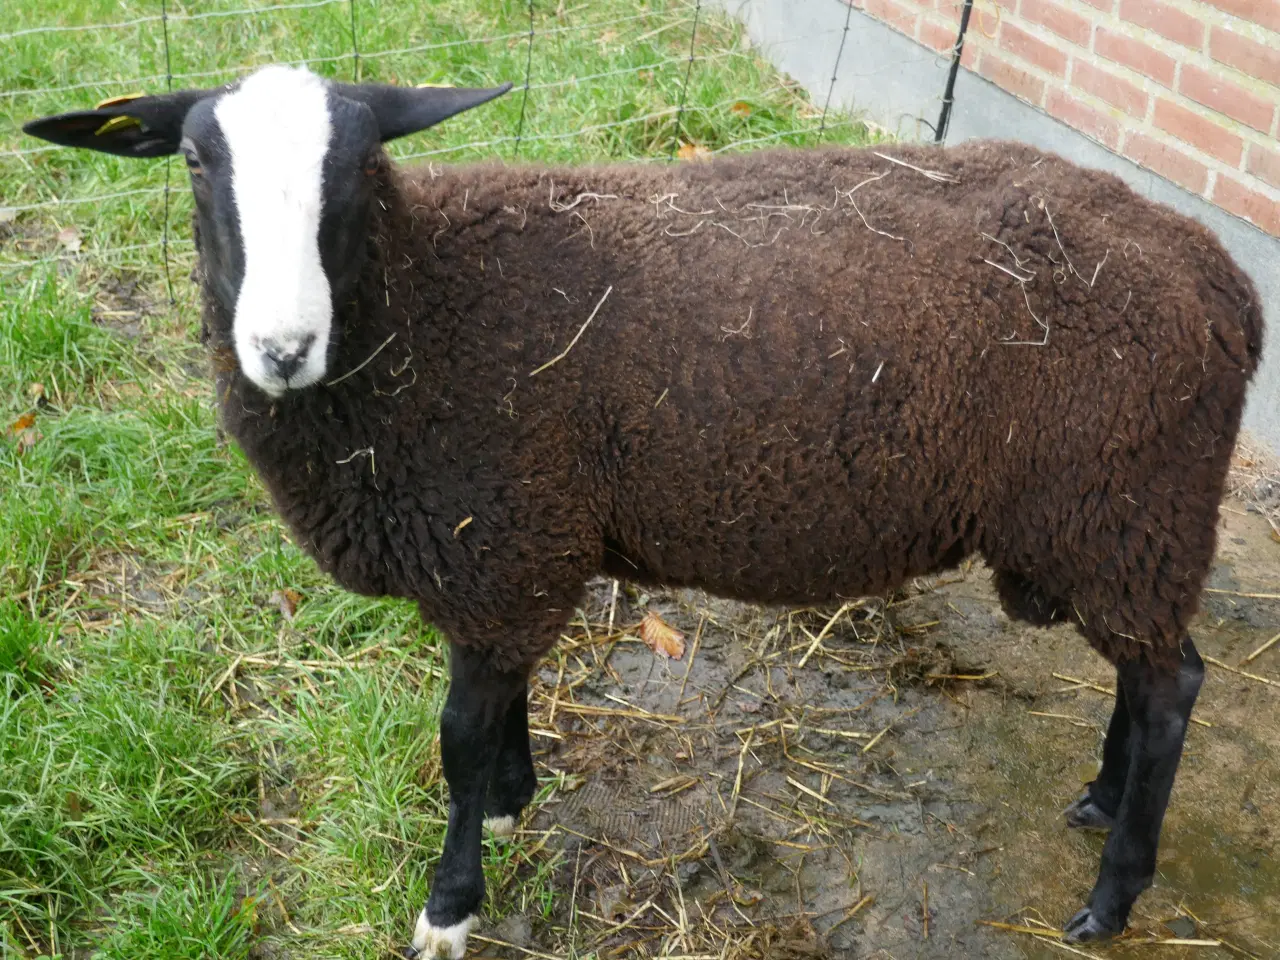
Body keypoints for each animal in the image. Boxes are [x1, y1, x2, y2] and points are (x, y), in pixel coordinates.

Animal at [24, 64, 1264, 957]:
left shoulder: (503, 547)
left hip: (1119, 505)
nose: (281, 349)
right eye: (195, 161)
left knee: (1170, 688)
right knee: (1146, 673)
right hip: (1116, 527)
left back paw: (1110, 898)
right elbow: (497, 712)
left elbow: (458, 736)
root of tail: (1224, 283)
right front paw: (513, 801)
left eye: (357, 167)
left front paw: (450, 903)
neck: (426, 306)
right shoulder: (513, 554)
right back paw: (1098, 800)